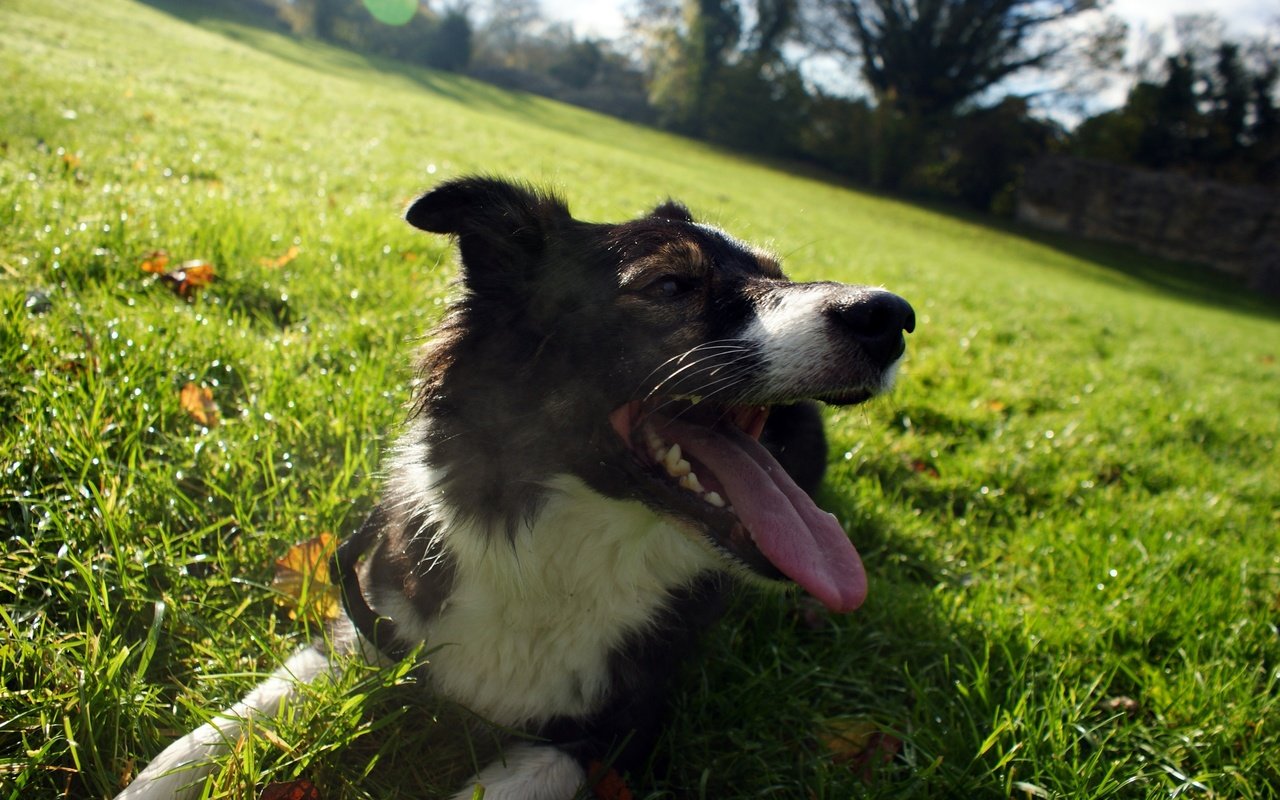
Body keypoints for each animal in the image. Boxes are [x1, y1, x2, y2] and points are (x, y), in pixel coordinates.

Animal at [115, 176, 916, 798]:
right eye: (668, 285)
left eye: (777, 272)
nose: (892, 317)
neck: (559, 543)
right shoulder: (367, 623)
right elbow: (213, 733)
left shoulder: (618, 732)